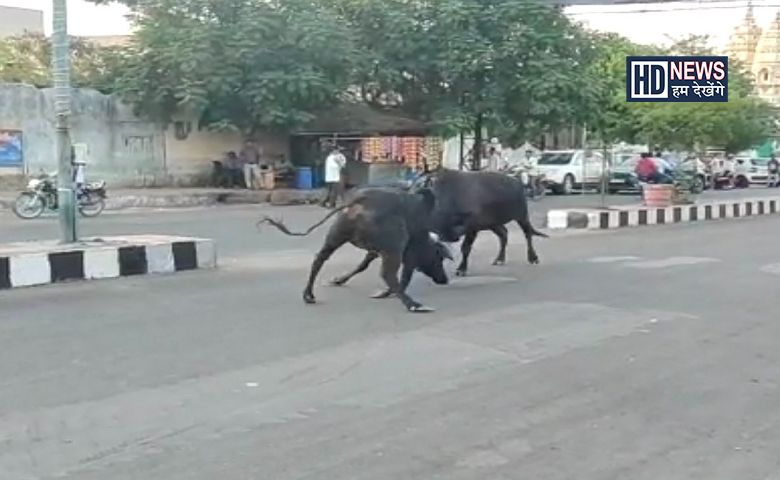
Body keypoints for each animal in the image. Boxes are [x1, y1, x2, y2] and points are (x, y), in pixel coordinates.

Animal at [258, 186, 454, 314]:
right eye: (439, 258)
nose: (444, 279)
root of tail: (362, 200)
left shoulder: (375, 250)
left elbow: (362, 266)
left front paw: (338, 280)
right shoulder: (407, 252)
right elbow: (404, 276)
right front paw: (386, 293)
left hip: (336, 236)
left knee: (319, 259)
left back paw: (308, 295)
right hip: (394, 244)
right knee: (388, 274)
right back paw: (414, 305)